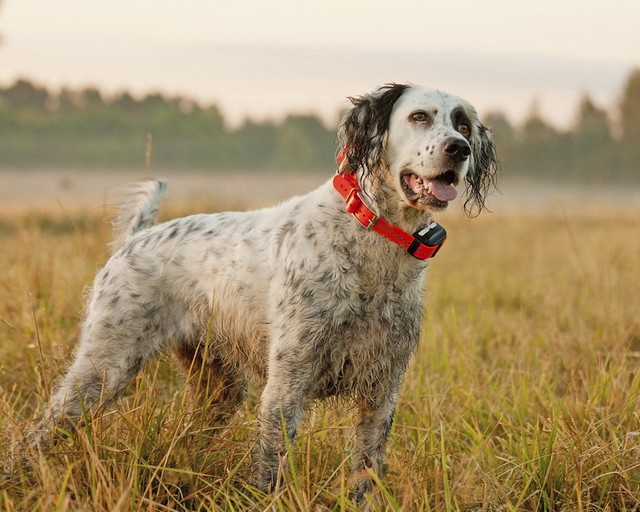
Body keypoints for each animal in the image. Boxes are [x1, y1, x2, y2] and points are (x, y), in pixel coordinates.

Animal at [28, 84, 500, 500]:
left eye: (463, 124)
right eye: (419, 117)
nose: (459, 148)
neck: (372, 242)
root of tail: (135, 238)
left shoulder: (382, 391)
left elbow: (365, 473)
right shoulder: (287, 385)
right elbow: (272, 467)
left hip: (219, 388)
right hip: (103, 369)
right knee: (39, 431)